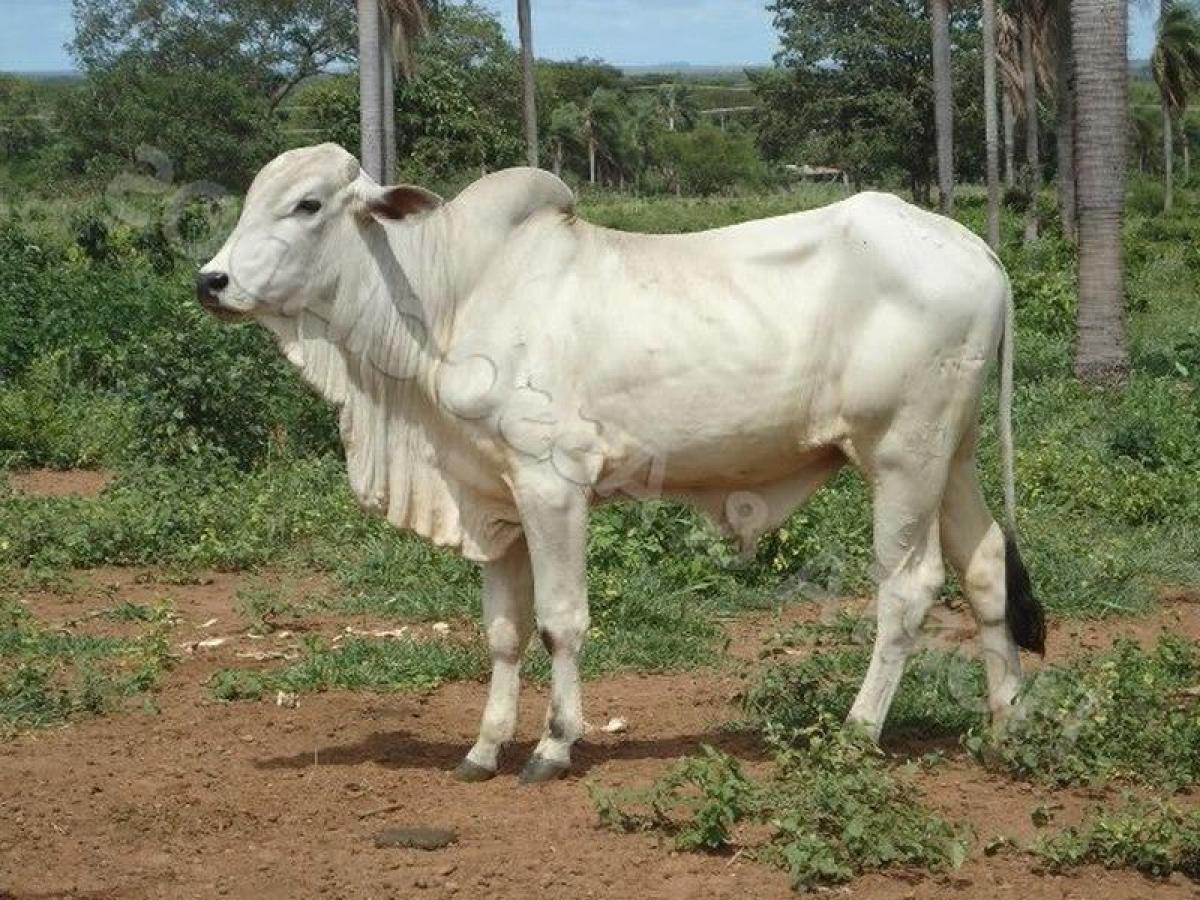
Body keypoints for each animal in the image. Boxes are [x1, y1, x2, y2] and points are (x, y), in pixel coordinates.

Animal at [196, 144, 1041, 787]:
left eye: (307, 205)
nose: (211, 281)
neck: (450, 294)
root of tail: (978, 248)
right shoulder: (491, 497)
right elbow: (502, 632)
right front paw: (482, 747)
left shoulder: (552, 482)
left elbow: (559, 622)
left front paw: (552, 746)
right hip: (951, 453)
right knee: (985, 566)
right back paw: (1006, 725)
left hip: (900, 452)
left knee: (908, 588)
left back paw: (858, 730)